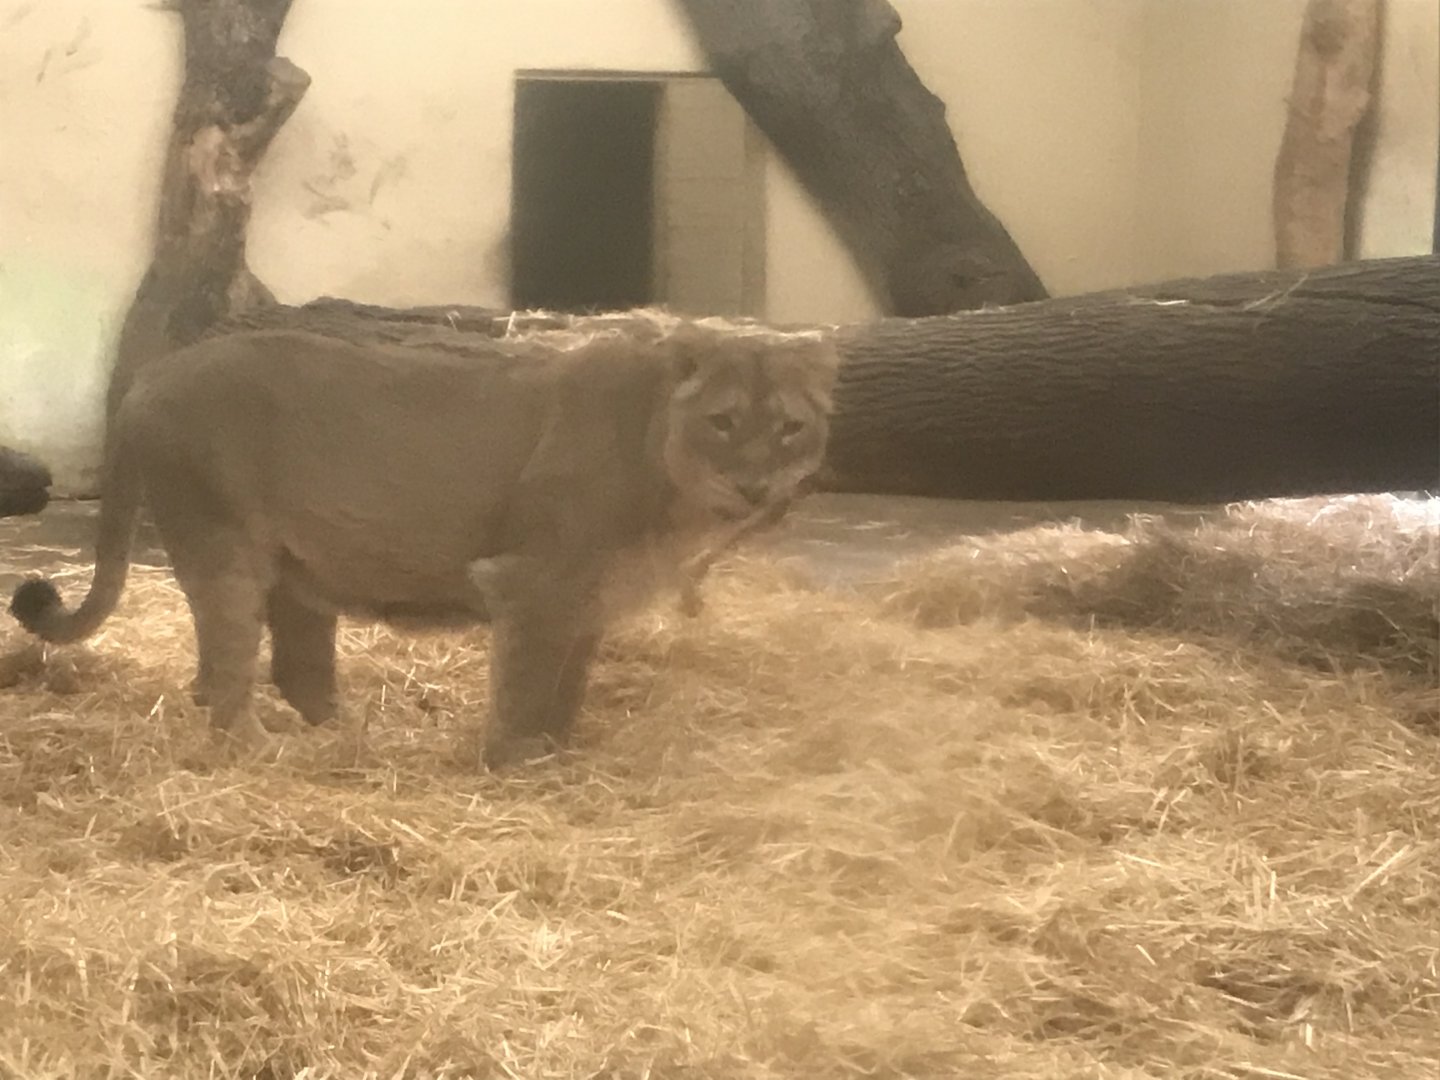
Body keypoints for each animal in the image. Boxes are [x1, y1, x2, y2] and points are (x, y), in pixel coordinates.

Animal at [10, 314, 838, 767]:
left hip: (295, 570)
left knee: (288, 673)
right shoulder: (532, 582)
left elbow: (566, 689)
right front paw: (516, 764)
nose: (756, 488)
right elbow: (527, 685)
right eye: (724, 422)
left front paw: (559, 755)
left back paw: (347, 739)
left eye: (790, 427)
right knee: (223, 680)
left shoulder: (587, 605)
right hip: (223, 548)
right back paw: (264, 747)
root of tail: (148, 377)